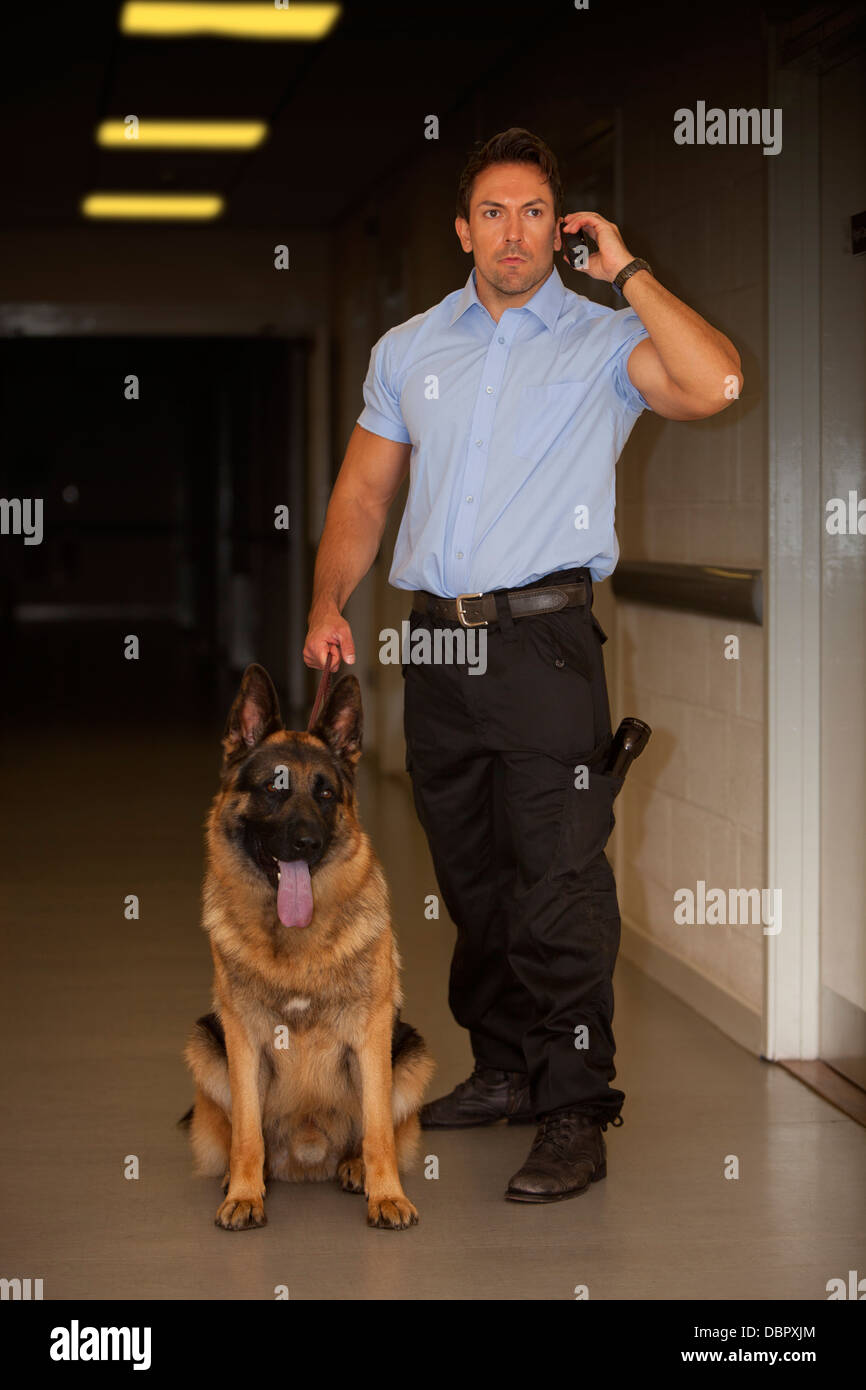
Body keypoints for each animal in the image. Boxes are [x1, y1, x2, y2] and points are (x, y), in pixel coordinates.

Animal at [182, 661, 433, 1228]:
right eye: (274, 788)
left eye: (325, 794)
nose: (308, 843)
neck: (295, 941)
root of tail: (307, 1157)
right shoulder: (242, 1038)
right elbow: (247, 1132)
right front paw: (245, 1193)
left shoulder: (371, 1036)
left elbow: (379, 1132)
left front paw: (387, 1194)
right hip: (206, 1045)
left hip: (410, 1055)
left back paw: (355, 1168)